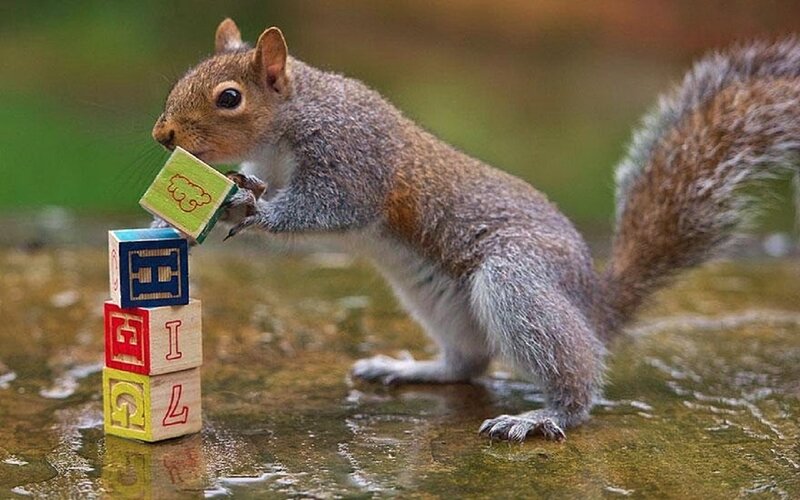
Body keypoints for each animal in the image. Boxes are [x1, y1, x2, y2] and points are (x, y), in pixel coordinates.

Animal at [152, 19, 800, 442]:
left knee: (576, 371)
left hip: (517, 281)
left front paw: (251, 210)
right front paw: (204, 208)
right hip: (437, 300)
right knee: (469, 364)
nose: (162, 136)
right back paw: (410, 368)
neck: (291, 121)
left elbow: (330, 208)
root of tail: (595, 304)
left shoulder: (354, 157)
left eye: (229, 98)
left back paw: (543, 416)